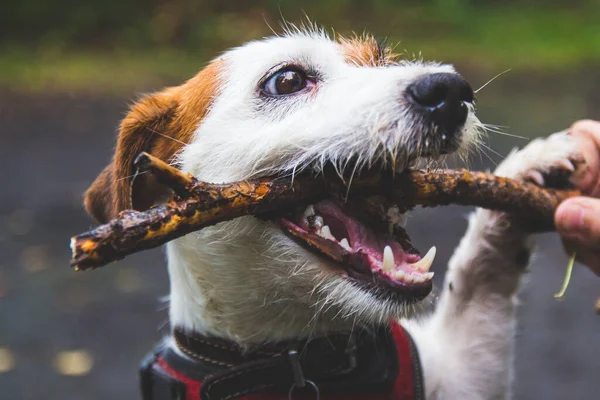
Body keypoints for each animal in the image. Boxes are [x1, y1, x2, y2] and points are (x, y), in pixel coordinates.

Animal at [83, 28, 580, 400]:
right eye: (286, 80)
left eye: (381, 60)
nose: (450, 91)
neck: (303, 359)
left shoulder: (464, 374)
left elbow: (479, 279)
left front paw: (531, 168)